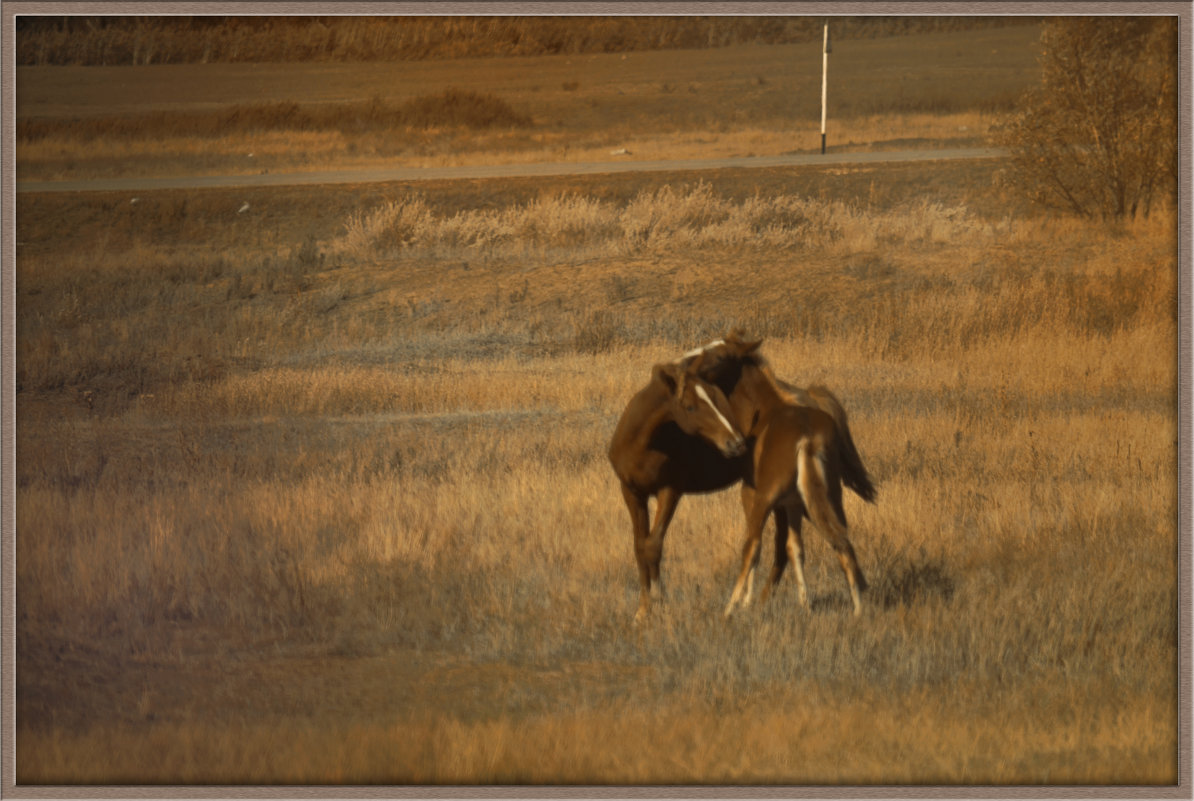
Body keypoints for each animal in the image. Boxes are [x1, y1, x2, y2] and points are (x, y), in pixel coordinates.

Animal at [606, 353, 745, 625]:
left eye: (714, 398)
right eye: (690, 407)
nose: (735, 443)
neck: (642, 445)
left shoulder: (669, 491)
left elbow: (653, 545)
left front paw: (658, 599)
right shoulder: (631, 493)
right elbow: (639, 547)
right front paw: (642, 610)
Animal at [697, 329, 878, 615]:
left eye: (720, 355)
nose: (691, 367)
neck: (766, 408)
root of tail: (807, 439)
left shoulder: (753, 495)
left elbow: (759, 547)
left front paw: (746, 602)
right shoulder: (792, 503)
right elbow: (796, 548)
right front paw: (805, 602)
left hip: (766, 499)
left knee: (753, 547)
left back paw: (730, 608)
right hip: (829, 498)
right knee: (842, 541)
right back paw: (858, 608)